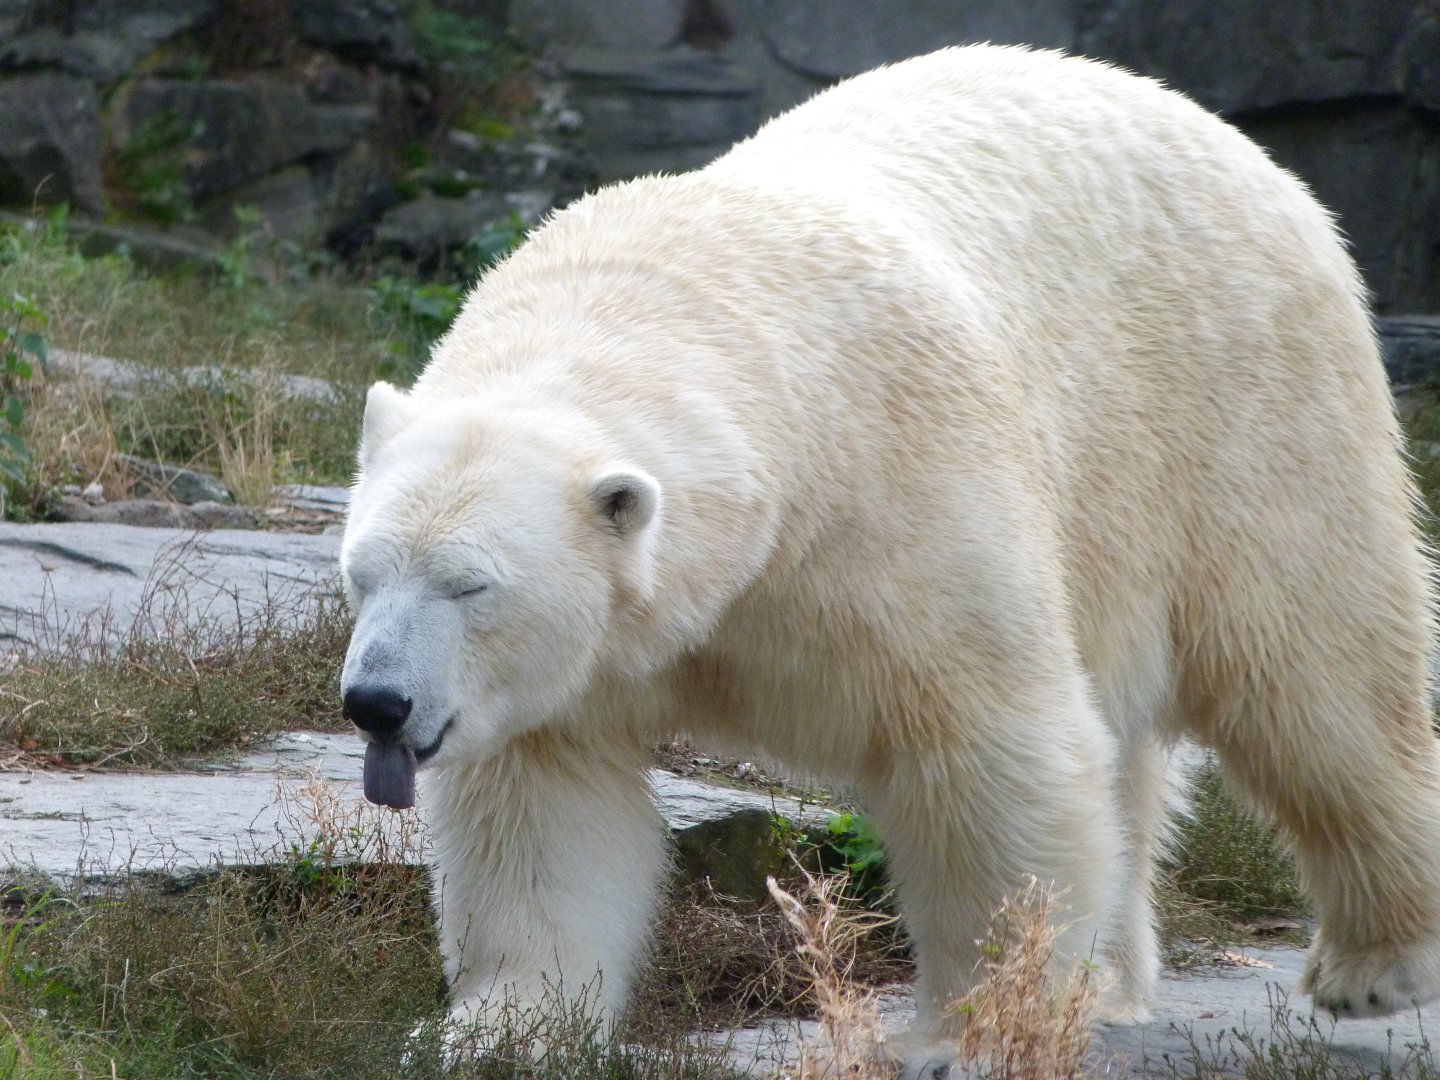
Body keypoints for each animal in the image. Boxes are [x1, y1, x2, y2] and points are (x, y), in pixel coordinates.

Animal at [339, 43, 1440, 1068]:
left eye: (470, 584)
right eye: (363, 572)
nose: (377, 703)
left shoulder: (895, 496)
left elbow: (989, 749)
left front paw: (974, 1028)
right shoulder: (589, 659)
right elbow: (542, 804)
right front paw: (499, 1028)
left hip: (1231, 408)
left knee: (1315, 672)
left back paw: (1373, 963)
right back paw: (1115, 983)